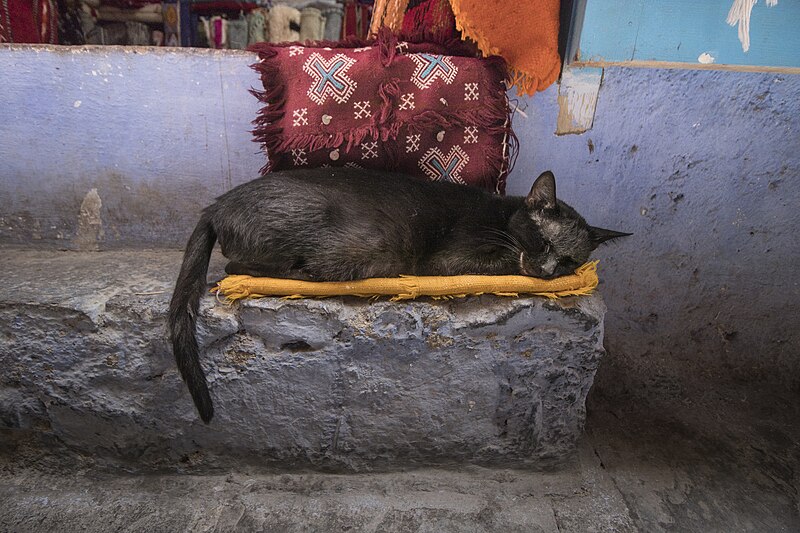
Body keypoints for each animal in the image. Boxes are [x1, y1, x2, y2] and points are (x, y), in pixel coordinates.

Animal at [169, 168, 632, 422]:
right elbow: (500, 264)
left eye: (570, 260)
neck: (504, 217)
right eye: (543, 241)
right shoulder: (452, 262)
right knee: (236, 268)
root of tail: (215, 205)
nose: (548, 271)